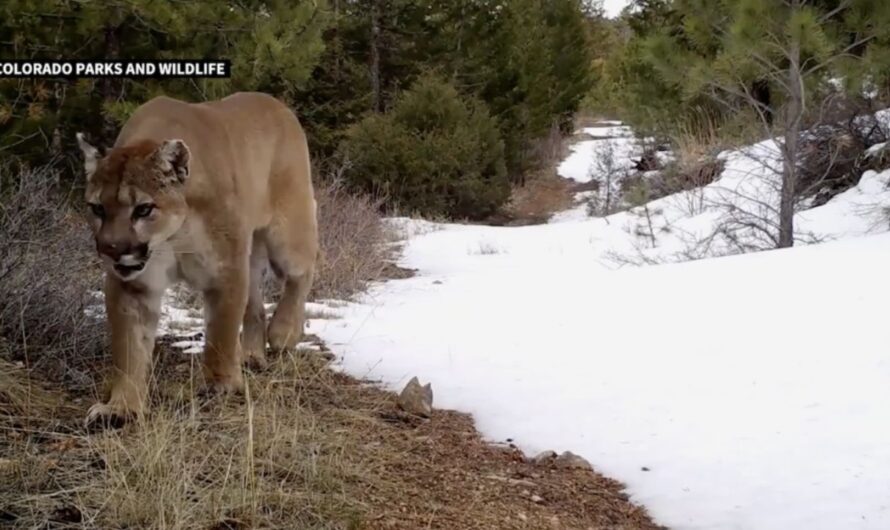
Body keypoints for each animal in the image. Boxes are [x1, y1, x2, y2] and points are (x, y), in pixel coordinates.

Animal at [77, 92, 318, 426]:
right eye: (98, 208)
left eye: (143, 209)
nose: (111, 248)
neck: (173, 235)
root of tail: (274, 101)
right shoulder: (133, 285)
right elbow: (128, 348)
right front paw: (121, 408)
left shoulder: (225, 270)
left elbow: (221, 333)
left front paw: (222, 386)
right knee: (256, 304)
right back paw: (251, 356)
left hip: (287, 234)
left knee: (302, 273)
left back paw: (284, 333)